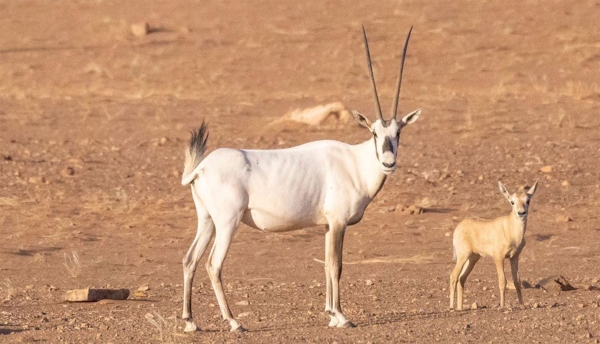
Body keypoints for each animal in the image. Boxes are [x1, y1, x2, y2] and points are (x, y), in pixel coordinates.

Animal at [450, 181, 540, 310]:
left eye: (528, 200)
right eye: (512, 201)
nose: (521, 213)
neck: (510, 228)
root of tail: (459, 226)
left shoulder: (514, 257)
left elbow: (517, 281)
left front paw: (522, 305)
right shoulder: (498, 257)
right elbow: (502, 281)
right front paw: (502, 306)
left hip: (473, 258)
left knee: (461, 278)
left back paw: (460, 307)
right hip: (463, 256)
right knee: (453, 276)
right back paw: (451, 307)